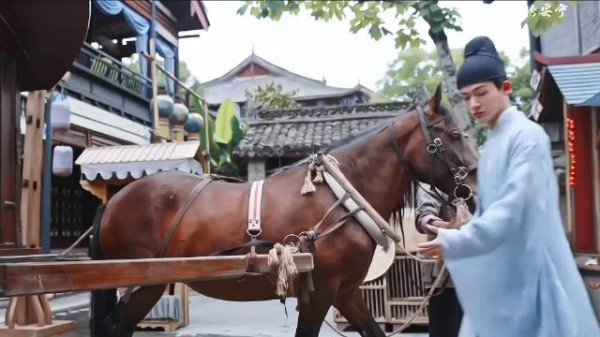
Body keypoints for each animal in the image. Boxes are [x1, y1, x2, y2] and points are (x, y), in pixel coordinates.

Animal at [88, 84, 478, 336]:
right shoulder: (320, 291)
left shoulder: (346, 292)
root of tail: (113, 201)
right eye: (455, 135)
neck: (341, 195)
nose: (475, 185)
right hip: (144, 283)